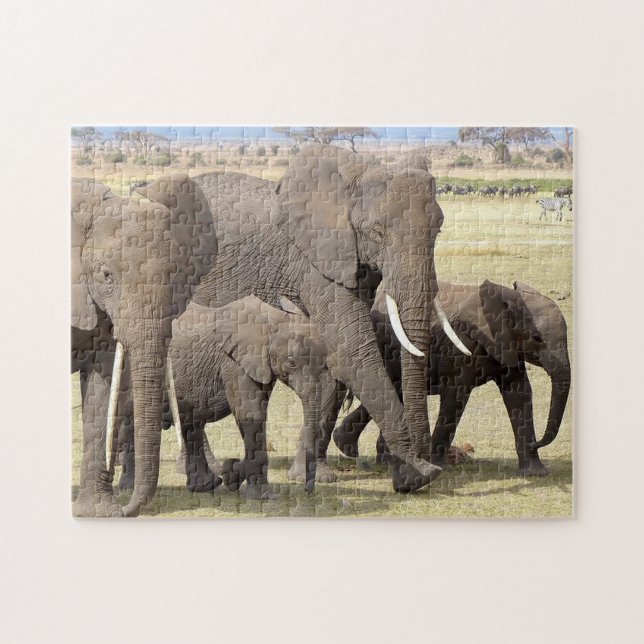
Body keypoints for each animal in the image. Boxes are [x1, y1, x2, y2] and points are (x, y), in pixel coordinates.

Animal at [116, 295, 344, 497]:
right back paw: (129, 488)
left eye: (323, 364)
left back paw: (206, 486)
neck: (271, 318)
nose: (308, 491)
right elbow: (250, 413)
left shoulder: (258, 364)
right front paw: (261, 495)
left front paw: (231, 473)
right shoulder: (233, 361)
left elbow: (257, 413)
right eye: (291, 363)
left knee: (191, 424)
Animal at [145, 146, 470, 493]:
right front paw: (417, 475)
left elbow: (335, 361)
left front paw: (314, 475)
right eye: (377, 231)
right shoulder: (315, 263)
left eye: (438, 229)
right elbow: (353, 350)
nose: (429, 464)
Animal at [331, 279, 571, 475]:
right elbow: (456, 397)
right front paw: (441, 467)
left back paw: (372, 456)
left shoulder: (508, 346)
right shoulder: (460, 345)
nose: (536, 444)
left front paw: (535, 473)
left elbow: (519, 394)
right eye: (537, 338)